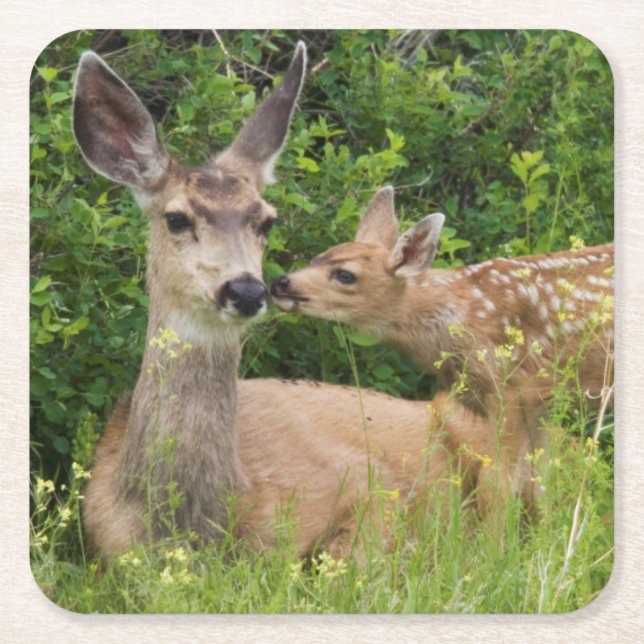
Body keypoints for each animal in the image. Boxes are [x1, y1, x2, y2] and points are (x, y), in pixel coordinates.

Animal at [271, 186, 614, 508]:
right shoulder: (540, 401)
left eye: (345, 275)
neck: (461, 316)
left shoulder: (512, 386)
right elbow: (539, 485)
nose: (280, 283)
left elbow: (498, 485)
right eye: (318, 257)